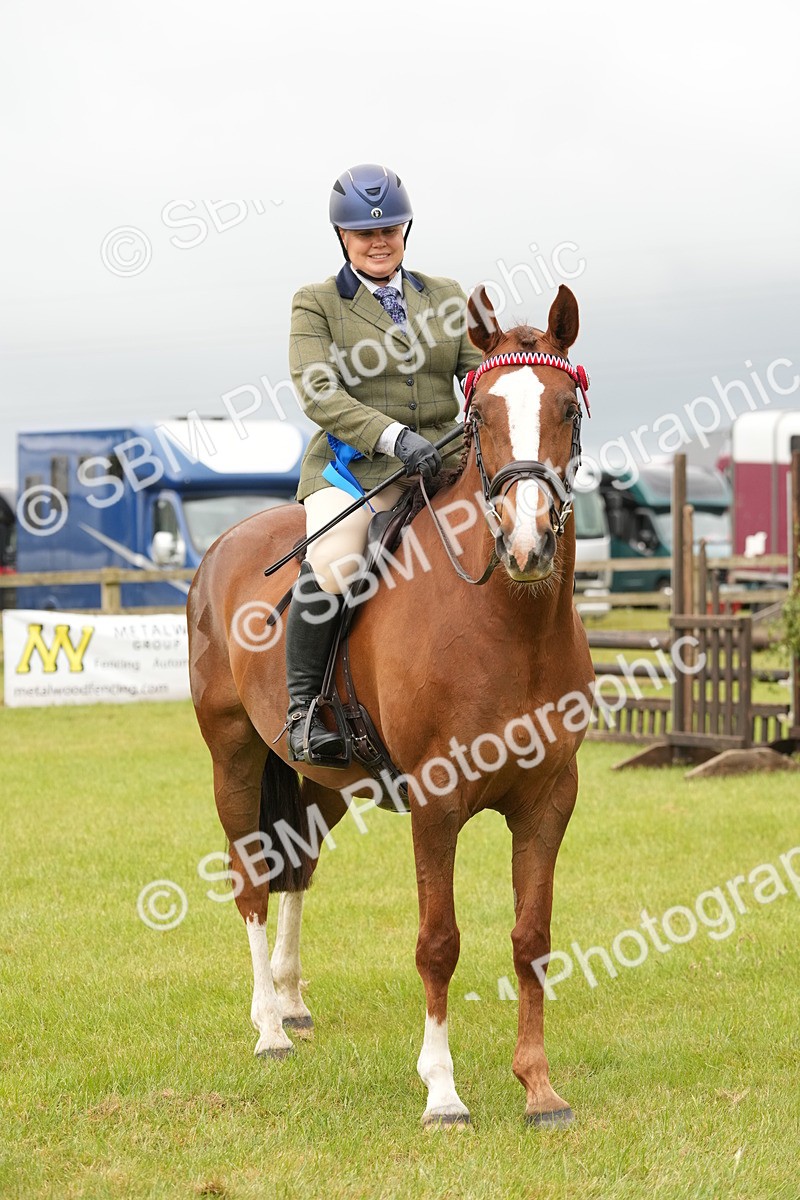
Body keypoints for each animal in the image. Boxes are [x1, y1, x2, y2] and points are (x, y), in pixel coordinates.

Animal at [187, 282, 595, 1127]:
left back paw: (292, 1003)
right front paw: (443, 1093)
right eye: (483, 418)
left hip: (323, 781)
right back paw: (268, 1028)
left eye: (565, 409)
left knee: (297, 868)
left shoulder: (550, 798)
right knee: (251, 878)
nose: (530, 544)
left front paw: (539, 1088)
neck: (509, 621)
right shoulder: (437, 802)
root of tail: (225, 546)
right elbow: (438, 941)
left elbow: (532, 938)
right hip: (233, 756)